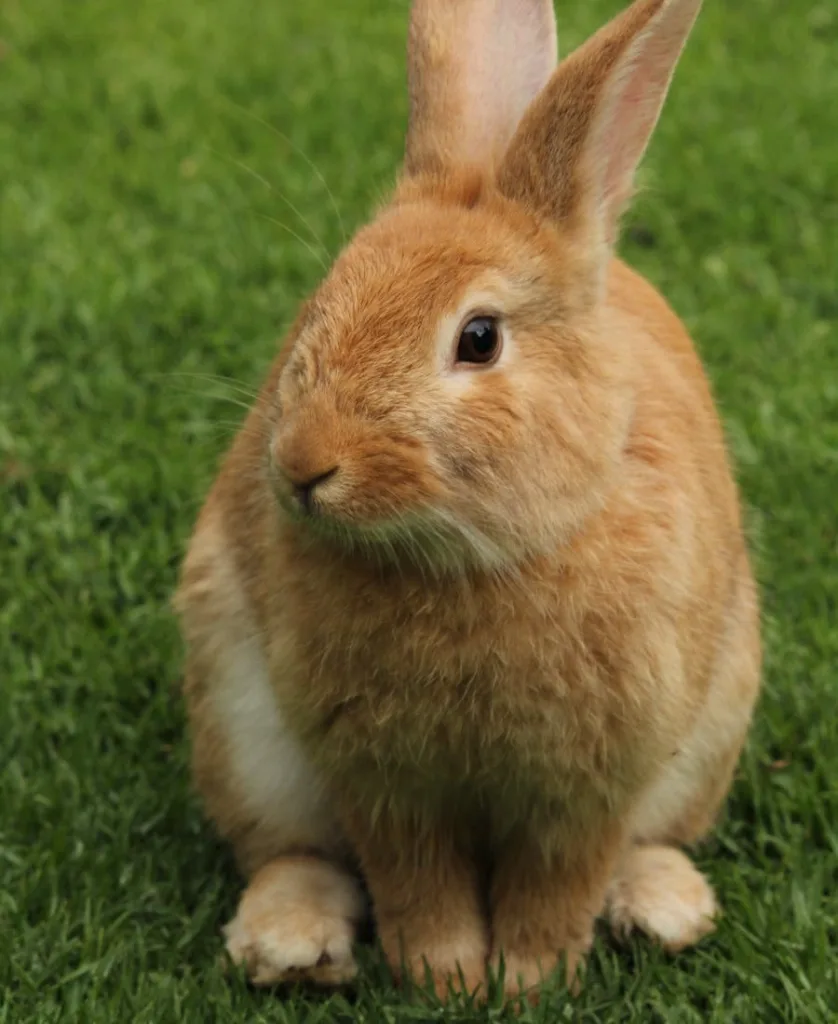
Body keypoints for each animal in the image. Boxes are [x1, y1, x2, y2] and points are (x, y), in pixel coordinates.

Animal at [175, 0, 758, 1007]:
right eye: (320, 302)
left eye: (478, 339)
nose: (303, 466)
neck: (474, 561)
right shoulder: (382, 782)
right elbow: (417, 881)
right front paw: (445, 978)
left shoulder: (591, 787)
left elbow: (558, 883)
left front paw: (527, 981)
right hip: (242, 730)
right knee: (291, 853)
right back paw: (291, 947)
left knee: (649, 843)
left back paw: (663, 910)